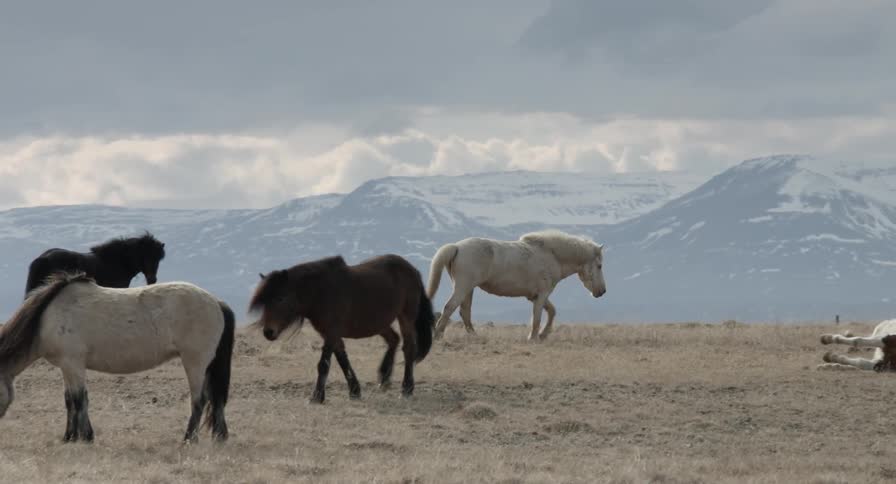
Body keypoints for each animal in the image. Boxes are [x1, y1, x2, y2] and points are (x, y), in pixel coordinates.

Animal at [0, 272, 234, 443]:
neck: (48, 317)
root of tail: (216, 302)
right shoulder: (66, 367)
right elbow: (70, 400)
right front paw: (69, 437)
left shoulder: (73, 364)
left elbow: (79, 399)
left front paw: (84, 437)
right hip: (207, 365)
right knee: (214, 398)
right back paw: (219, 437)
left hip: (195, 361)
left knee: (199, 400)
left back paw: (188, 439)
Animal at [249, 254, 434, 403]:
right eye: (265, 302)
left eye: (280, 298)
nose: (268, 332)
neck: (322, 293)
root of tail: (413, 270)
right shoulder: (330, 334)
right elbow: (342, 360)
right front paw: (354, 391)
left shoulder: (331, 333)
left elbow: (324, 364)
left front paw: (317, 397)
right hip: (379, 323)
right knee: (393, 339)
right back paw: (384, 378)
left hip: (405, 317)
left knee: (408, 348)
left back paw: (406, 389)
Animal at [427, 230, 607, 341]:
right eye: (599, 266)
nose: (602, 291)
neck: (552, 256)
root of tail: (457, 247)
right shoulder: (542, 294)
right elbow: (537, 318)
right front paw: (533, 337)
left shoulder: (535, 296)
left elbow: (551, 312)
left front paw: (543, 335)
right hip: (463, 287)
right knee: (450, 307)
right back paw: (438, 336)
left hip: (468, 289)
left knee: (464, 312)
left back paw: (474, 336)